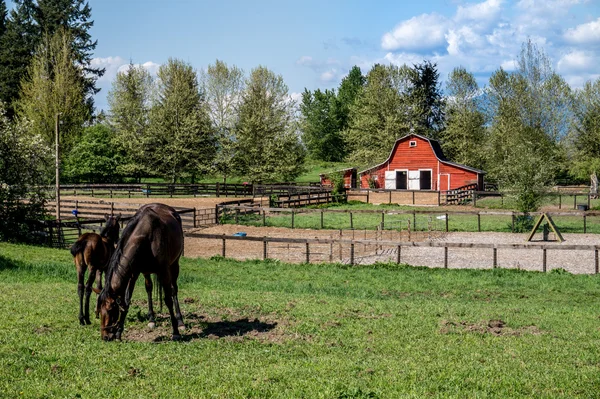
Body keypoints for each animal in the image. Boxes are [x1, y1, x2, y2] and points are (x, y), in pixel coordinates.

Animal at [97, 205, 185, 342]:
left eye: (111, 309)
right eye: (99, 310)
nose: (105, 336)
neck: (146, 236)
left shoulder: (164, 271)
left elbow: (168, 299)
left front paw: (175, 331)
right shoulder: (134, 273)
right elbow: (127, 301)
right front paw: (119, 333)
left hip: (174, 266)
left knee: (174, 290)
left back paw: (180, 321)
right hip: (146, 272)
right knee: (149, 288)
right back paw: (151, 319)